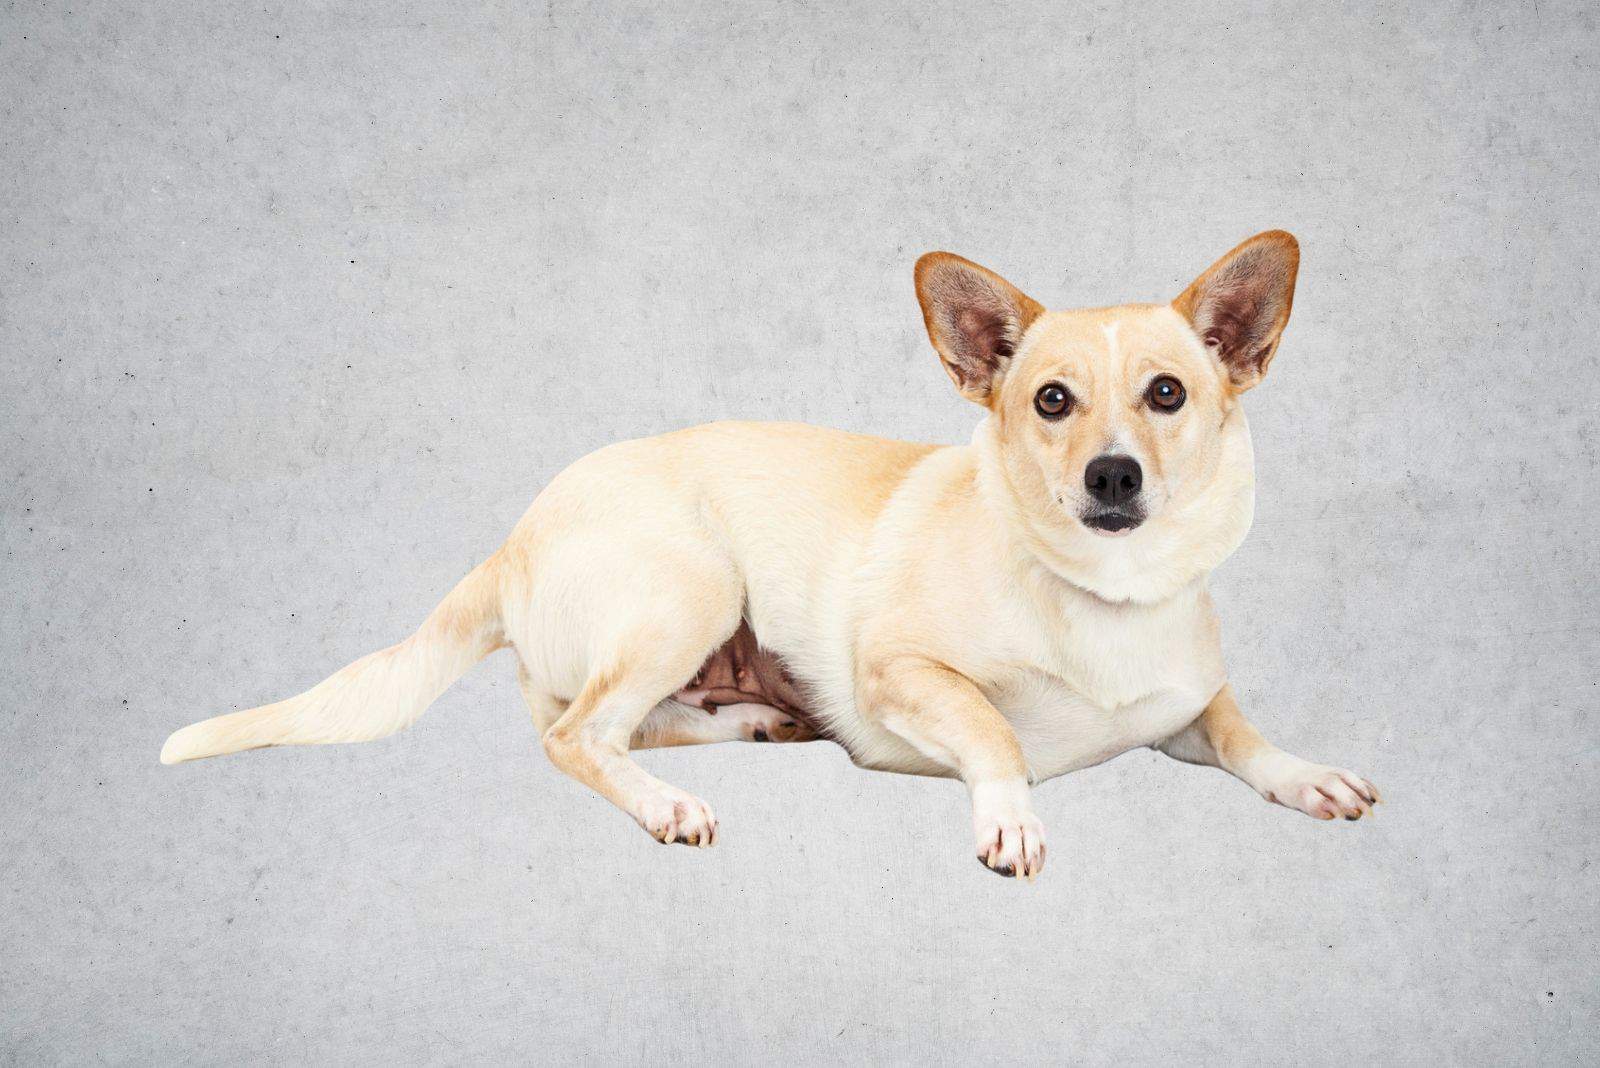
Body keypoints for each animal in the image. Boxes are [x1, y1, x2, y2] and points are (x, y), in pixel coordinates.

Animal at [165, 231, 1388, 876]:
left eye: (1168, 395)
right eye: (1051, 401)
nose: (1113, 476)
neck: (1102, 600)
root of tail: (514, 535)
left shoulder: (1188, 701)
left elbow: (1241, 729)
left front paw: (1306, 774)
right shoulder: (901, 674)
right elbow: (993, 726)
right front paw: (1010, 815)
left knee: (616, 719)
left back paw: (756, 723)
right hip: (695, 586)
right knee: (573, 735)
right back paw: (667, 804)